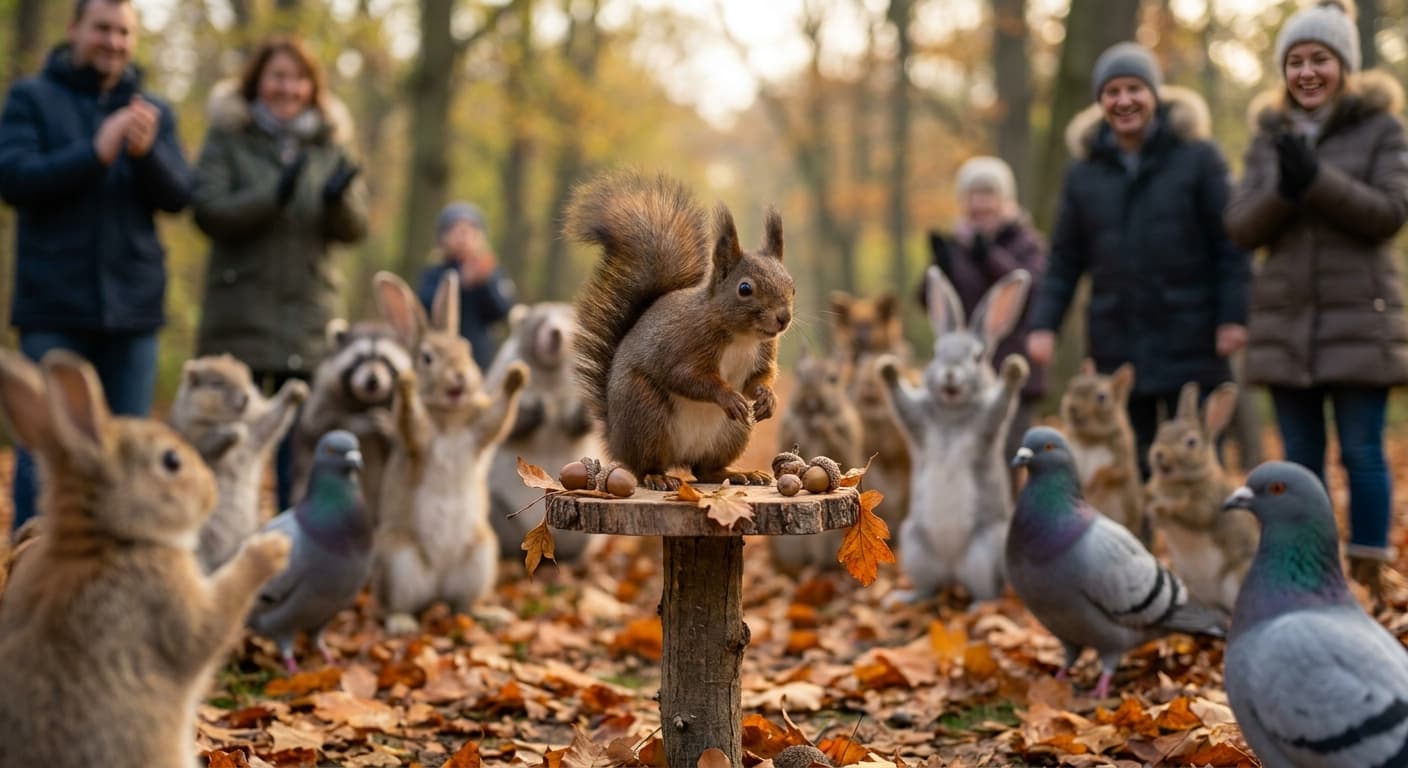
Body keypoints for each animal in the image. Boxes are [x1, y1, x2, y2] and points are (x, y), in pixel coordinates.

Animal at [566, 170, 795, 491]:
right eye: (745, 289)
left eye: (792, 286)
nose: (783, 318)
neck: (742, 337)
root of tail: (614, 439)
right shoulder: (683, 344)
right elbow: (686, 377)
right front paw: (728, 395)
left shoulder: (763, 352)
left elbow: (757, 379)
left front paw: (767, 397)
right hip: (645, 413)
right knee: (644, 466)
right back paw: (658, 477)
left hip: (732, 432)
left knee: (705, 470)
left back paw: (739, 474)